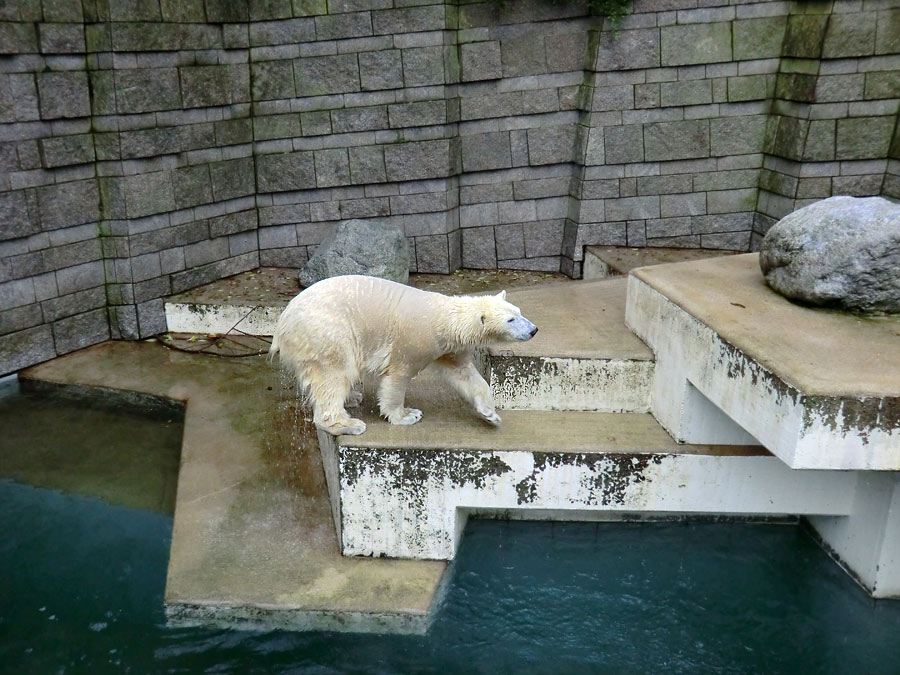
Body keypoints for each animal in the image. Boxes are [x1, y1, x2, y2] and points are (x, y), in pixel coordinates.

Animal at [270, 276, 536, 438]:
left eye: (519, 312)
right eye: (511, 320)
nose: (534, 329)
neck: (444, 319)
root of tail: (282, 323)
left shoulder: (447, 349)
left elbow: (463, 373)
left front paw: (491, 415)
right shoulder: (414, 340)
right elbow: (398, 376)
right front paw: (407, 415)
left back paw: (352, 397)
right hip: (327, 334)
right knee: (333, 375)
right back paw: (348, 424)